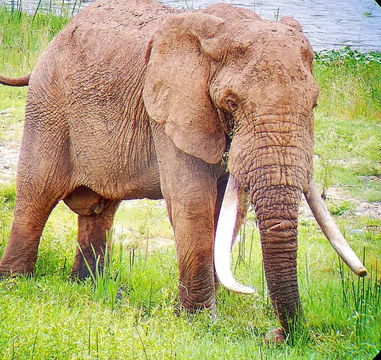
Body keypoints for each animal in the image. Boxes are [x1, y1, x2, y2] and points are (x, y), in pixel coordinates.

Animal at [0, 0, 366, 342]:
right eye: (231, 102)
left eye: (314, 103)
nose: (275, 335)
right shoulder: (172, 111)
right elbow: (192, 201)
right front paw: (201, 321)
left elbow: (230, 210)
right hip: (49, 105)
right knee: (38, 192)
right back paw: (17, 283)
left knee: (100, 208)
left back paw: (88, 286)